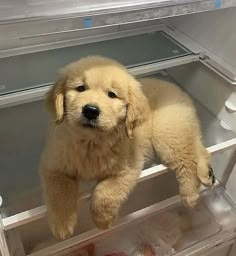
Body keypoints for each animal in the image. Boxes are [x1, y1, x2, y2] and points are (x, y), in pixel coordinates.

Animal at [40, 55, 214, 240]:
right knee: (199, 149)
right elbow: (60, 191)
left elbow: (105, 193)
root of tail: (178, 89)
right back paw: (207, 174)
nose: (91, 110)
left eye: (112, 95)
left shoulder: (127, 168)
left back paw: (190, 195)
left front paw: (103, 222)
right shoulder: (53, 164)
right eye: (80, 88)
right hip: (181, 130)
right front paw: (62, 225)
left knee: (187, 161)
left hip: (167, 133)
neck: (91, 142)